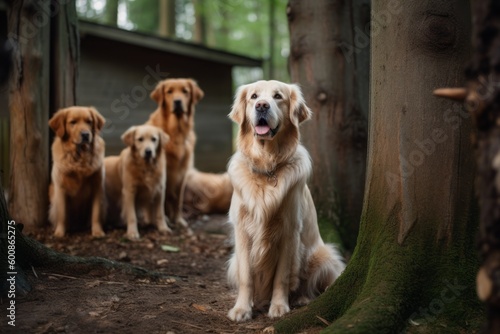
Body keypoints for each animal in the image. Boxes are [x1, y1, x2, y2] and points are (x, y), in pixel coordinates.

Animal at [48, 105, 106, 236]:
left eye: (89, 121)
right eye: (73, 122)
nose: (85, 134)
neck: (80, 158)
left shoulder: (97, 187)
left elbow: (96, 213)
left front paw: (97, 231)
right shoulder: (61, 188)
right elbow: (62, 214)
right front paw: (60, 233)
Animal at [146, 77, 204, 232]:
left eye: (185, 91)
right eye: (169, 92)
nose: (177, 102)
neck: (176, 132)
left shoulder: (182, 173)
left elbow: (178, 200)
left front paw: (178, 220)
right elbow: (161, 201)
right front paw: (164, 221)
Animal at [226, 80, 344, 320]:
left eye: (278, 96)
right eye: (254, 97)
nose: (262, 106)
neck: (266, 166)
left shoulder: (289, 230)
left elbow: (281, 276)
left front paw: (279, 306)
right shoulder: (241, 229)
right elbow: (246, 277)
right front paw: (242, 308)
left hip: (324, 255)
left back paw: (302, 298)